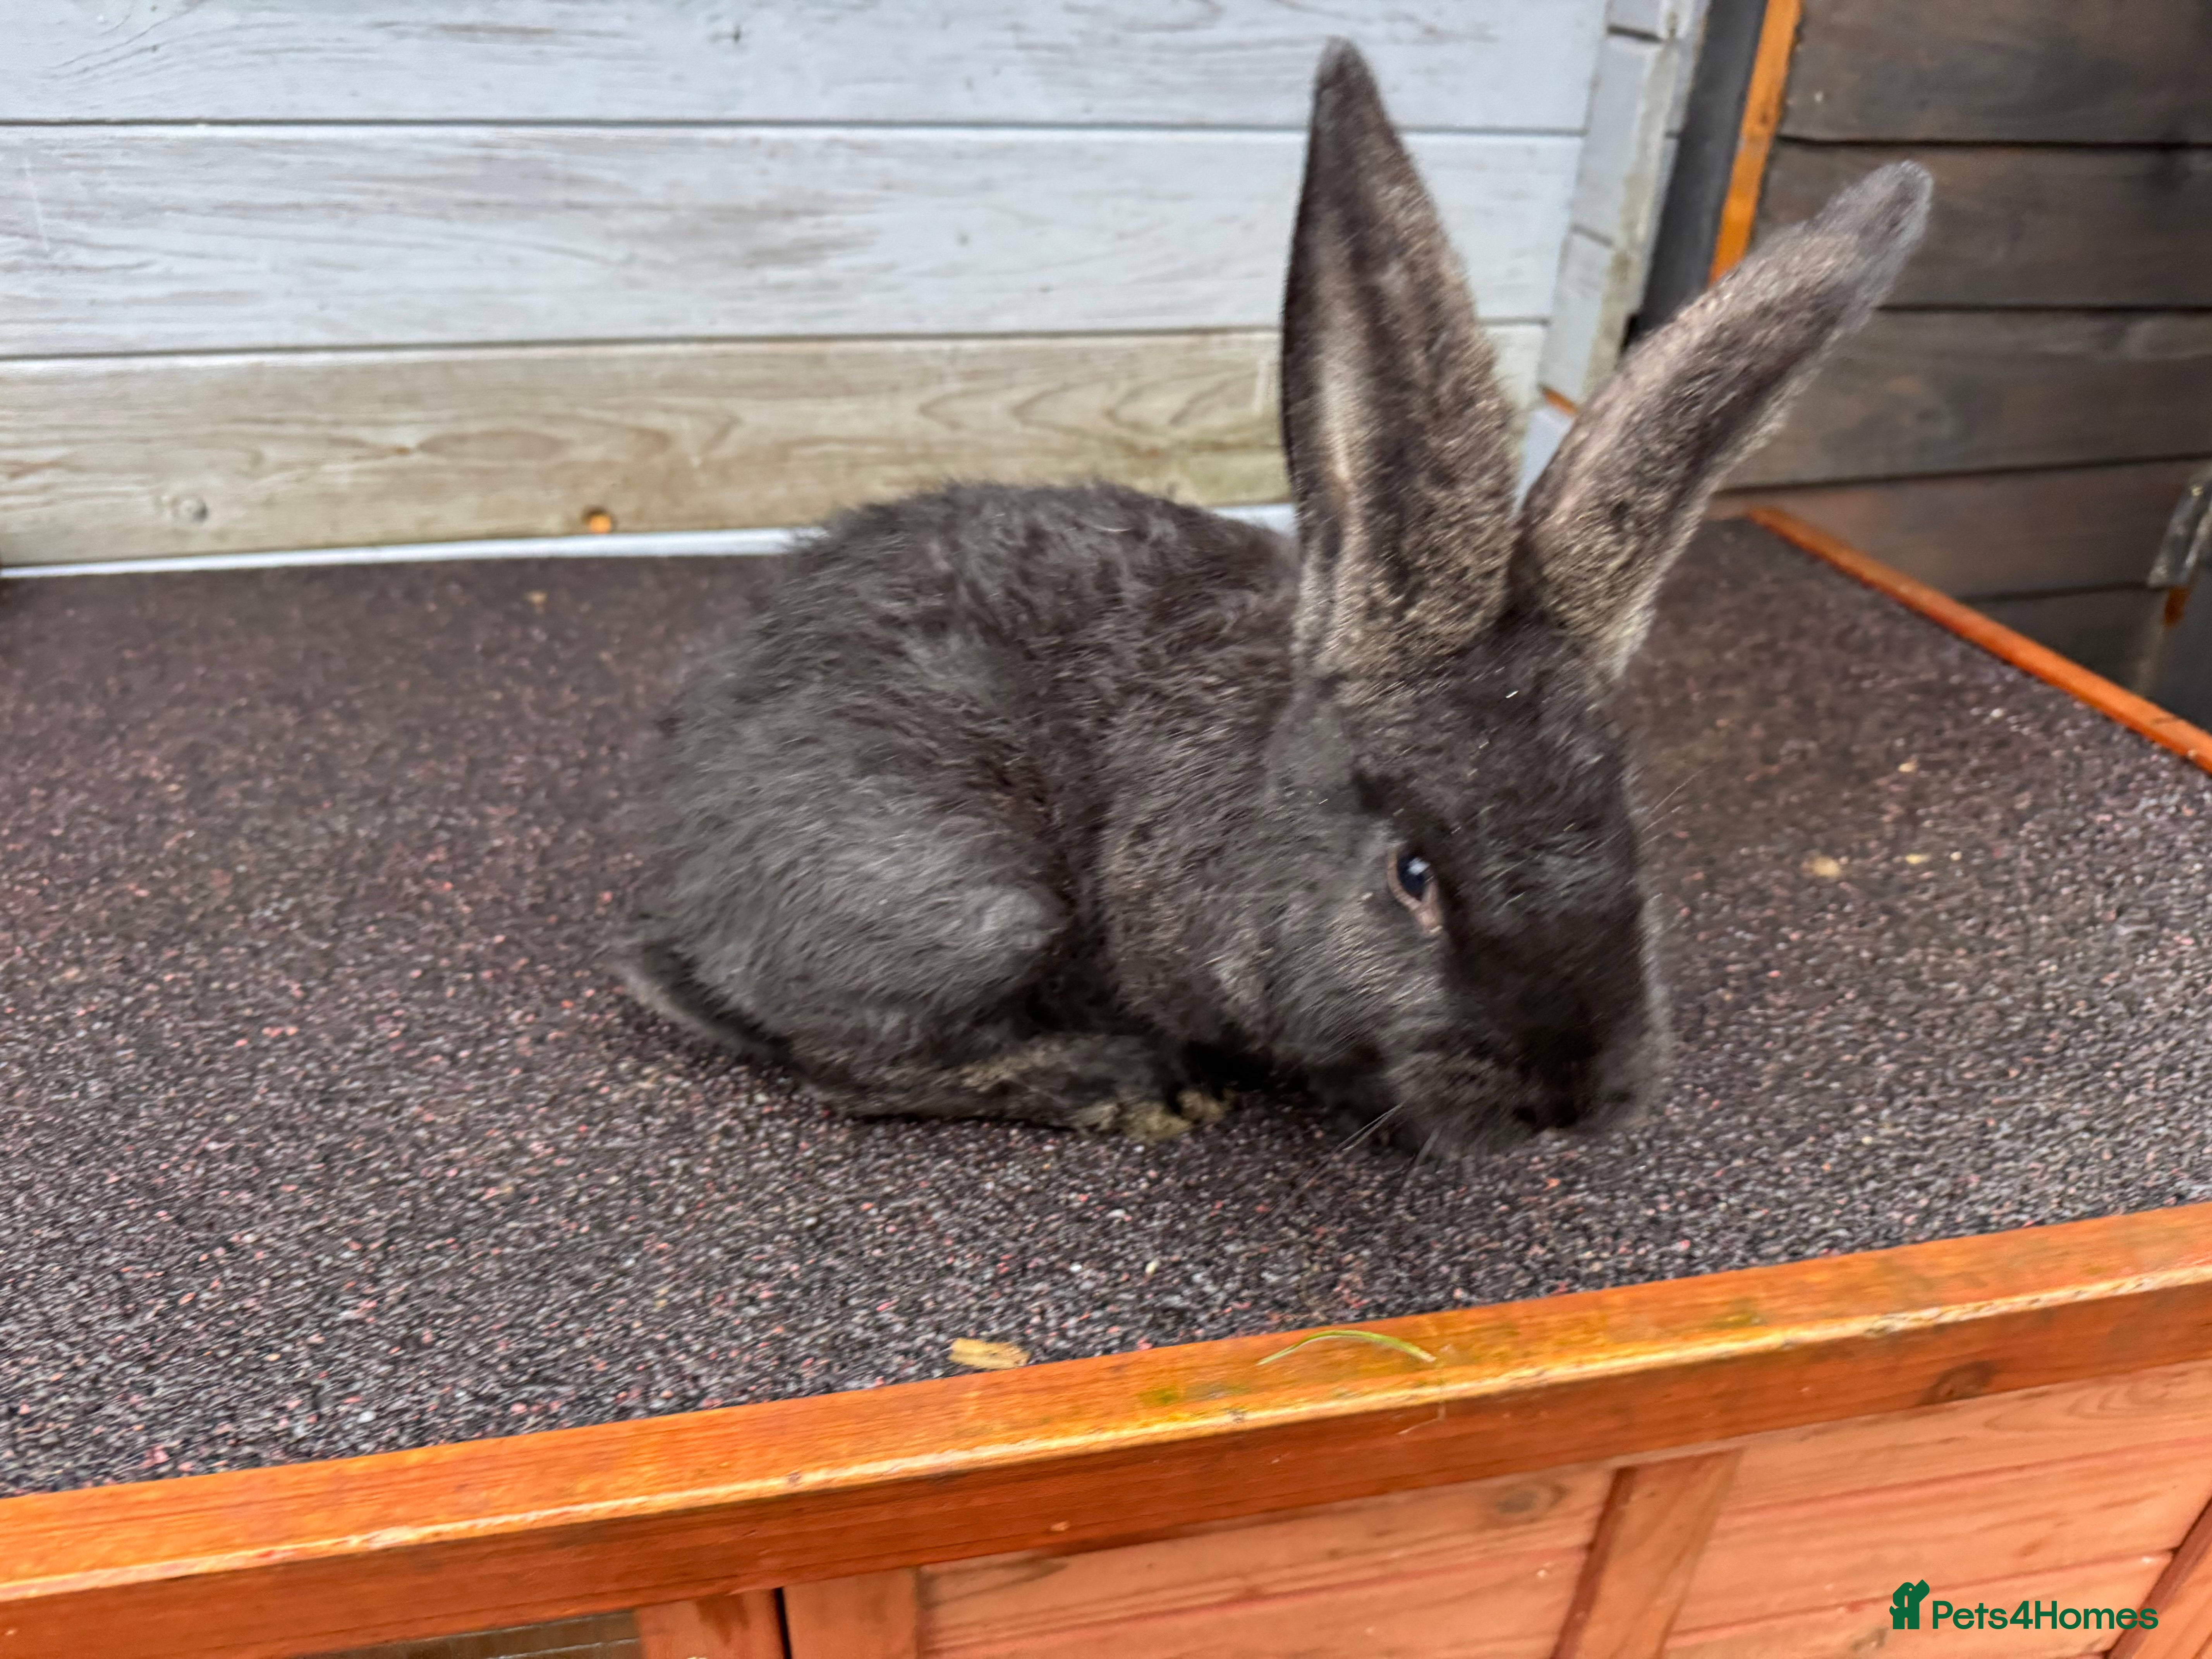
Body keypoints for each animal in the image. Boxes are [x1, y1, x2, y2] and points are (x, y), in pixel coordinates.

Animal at [620, 40, 1930, 1158]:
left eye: (1630, 836)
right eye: (1412, 875)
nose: (1567, 1097)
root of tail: (683, 870)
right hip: (966, 896)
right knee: (844, 1065)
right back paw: (1118, 1081)